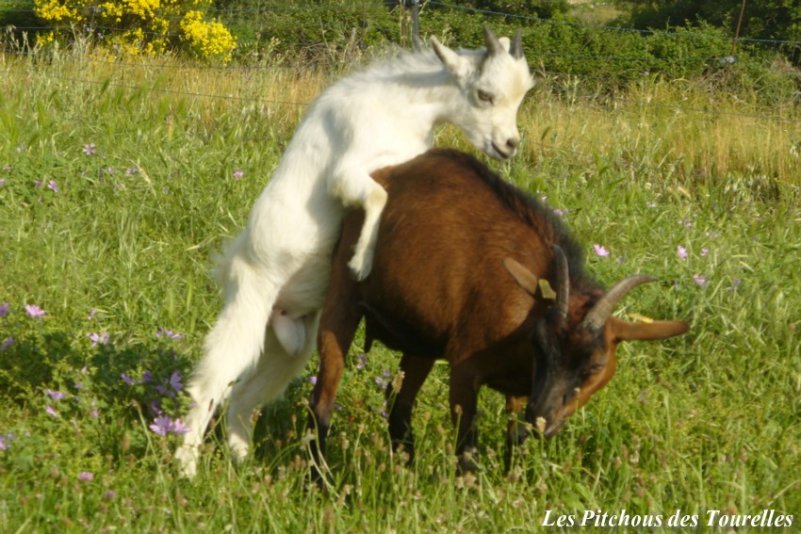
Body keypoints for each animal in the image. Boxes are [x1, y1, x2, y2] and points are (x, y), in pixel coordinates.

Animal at [310, 150, 684, 474]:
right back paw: (321, 480)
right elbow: (467, 451)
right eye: (541, 346)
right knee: (322, 401)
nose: (542, 419)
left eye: (595, 365)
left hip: (422, 341)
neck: (526, 319)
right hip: (343, 299)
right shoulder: (465, 371)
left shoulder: (520, 392)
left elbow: (512, 442)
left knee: (399, 408)